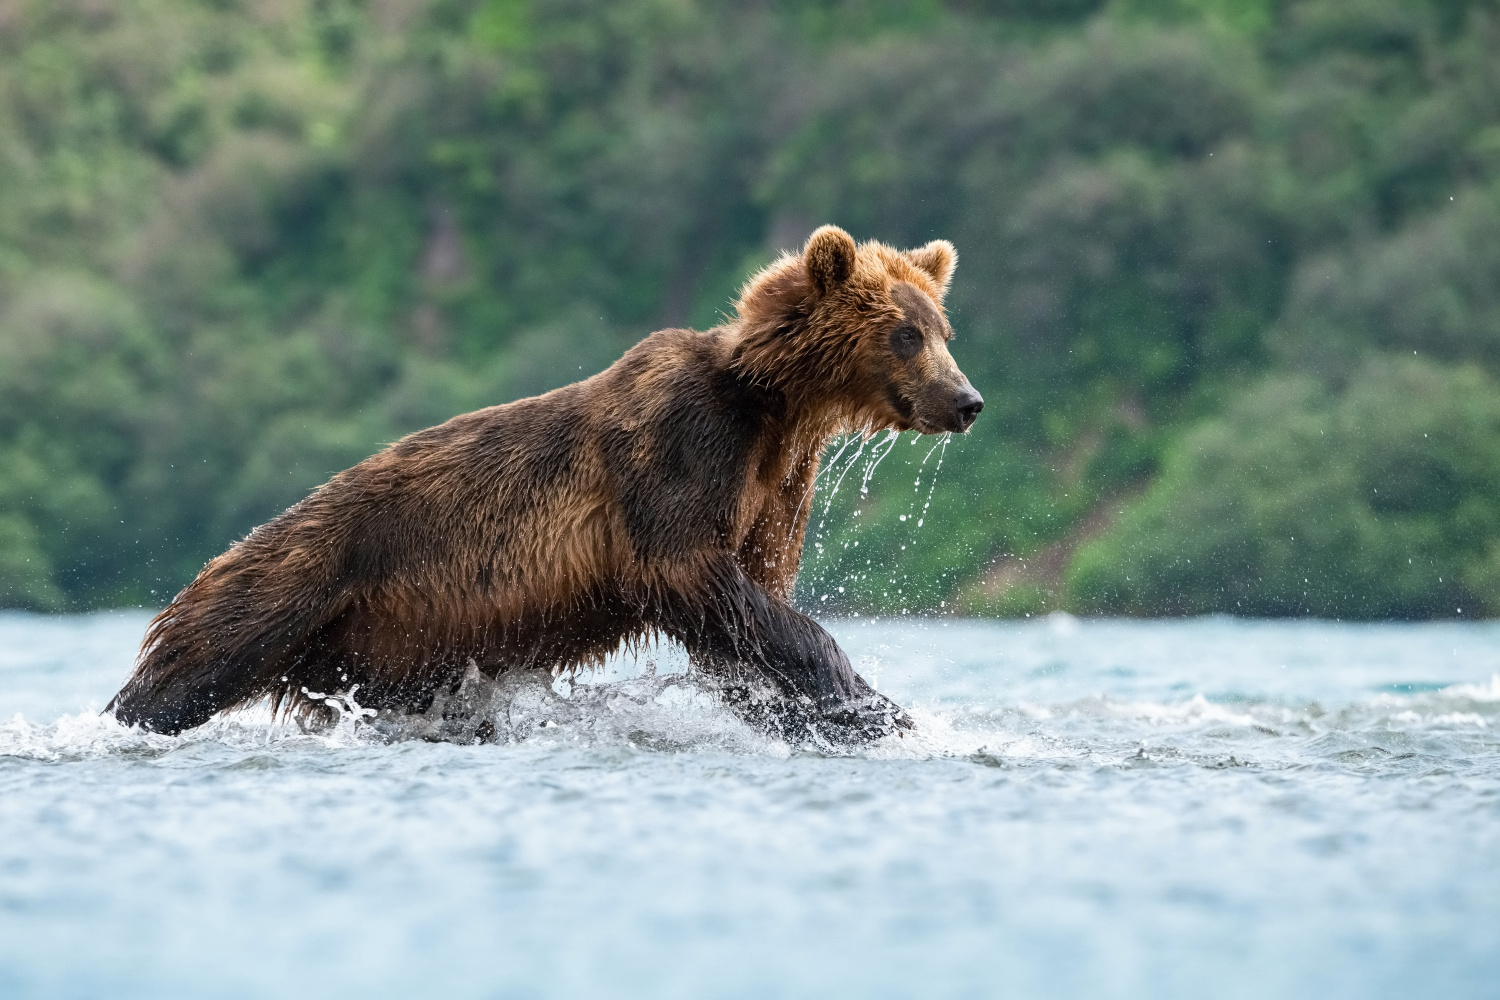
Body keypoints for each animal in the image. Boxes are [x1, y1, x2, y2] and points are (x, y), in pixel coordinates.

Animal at [108, 226, 984, 743]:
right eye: (905, 334)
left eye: (942, 328)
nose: (968, 399)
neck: (772, 408)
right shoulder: (680, 450)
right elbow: (701, 578)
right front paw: (873, 707)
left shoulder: (776, 487)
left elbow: (748, 615)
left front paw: (836, 715)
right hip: (298, 580)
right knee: (192, 664)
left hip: (390, 651)